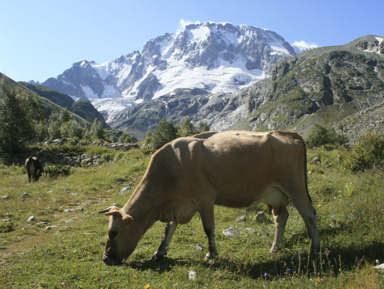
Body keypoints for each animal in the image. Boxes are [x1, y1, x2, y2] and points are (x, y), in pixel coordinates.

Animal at [103, 129, 320, 264]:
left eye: (113, 233)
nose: (105, 259)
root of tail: (288, 133)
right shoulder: (178, 205)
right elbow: (168, 229)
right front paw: (159, 252)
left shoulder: (204, 198)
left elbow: (208, 228)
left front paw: (211, 253)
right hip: (276, 194)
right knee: (281, 217)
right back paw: (274, 248)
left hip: (295, 187)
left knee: (309, 214)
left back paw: (315, 248)